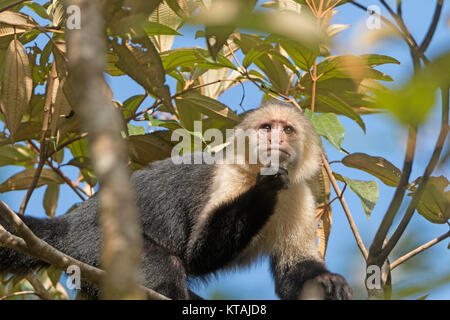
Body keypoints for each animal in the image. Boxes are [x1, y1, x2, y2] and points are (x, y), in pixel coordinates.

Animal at [0, 102, 352, 300]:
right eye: (267, 127)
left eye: (287, 130)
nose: (276, 139)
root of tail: (70, 222)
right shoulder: (228, 178)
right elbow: (199, 254)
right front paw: (265, 187)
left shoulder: (299, 194)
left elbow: (293, 272)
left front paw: (326, 280)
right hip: (93, 242)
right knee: (164, 266)